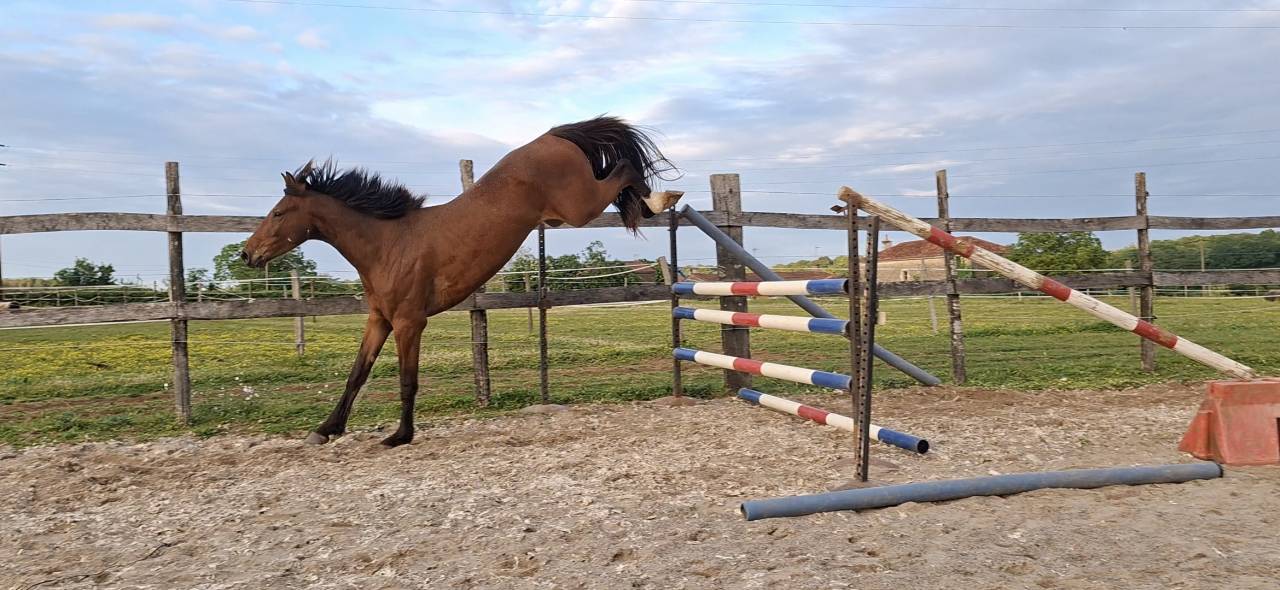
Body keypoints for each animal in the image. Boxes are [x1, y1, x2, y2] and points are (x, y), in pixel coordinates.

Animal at [241, 117, 682, 447]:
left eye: (278, 213)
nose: (247, 254)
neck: (388, 244)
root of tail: (552, 135)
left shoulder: (409, 323)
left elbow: (407, 380)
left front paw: (400, 435)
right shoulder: (379, 320)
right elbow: (356, 374)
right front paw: (326, 430)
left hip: (579, 205)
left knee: (623, 170)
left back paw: (661, 199)